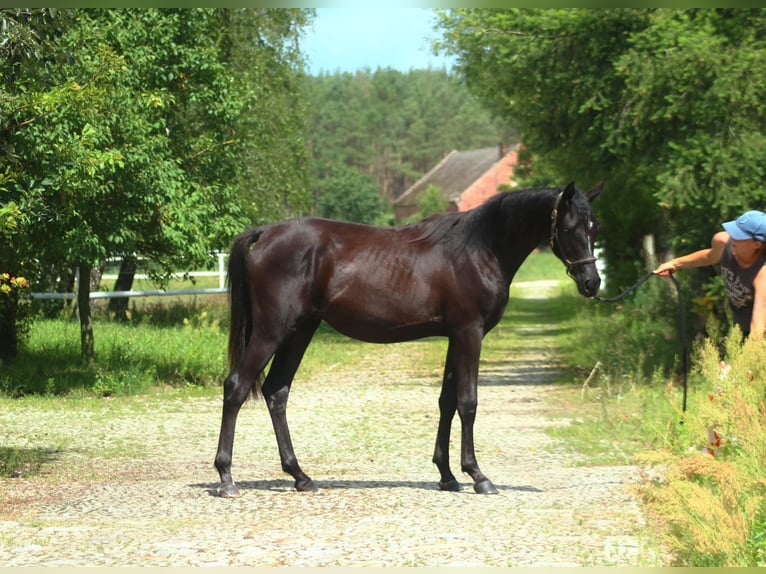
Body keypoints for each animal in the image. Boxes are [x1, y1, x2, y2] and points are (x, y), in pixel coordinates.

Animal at [214, 180, 603, 498]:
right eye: (567, 227)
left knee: (276, 392)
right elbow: (468, 402)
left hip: (300, 331)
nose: (592, 283)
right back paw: (226, 478)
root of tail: (266, 233)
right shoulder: (469, 333)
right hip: (272, 331)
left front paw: (447, 475)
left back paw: (300, 476)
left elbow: (447, 401)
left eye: (593, 226)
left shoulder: (454, 337)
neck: (480, 248)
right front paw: (478, 476)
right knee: (236, 386)